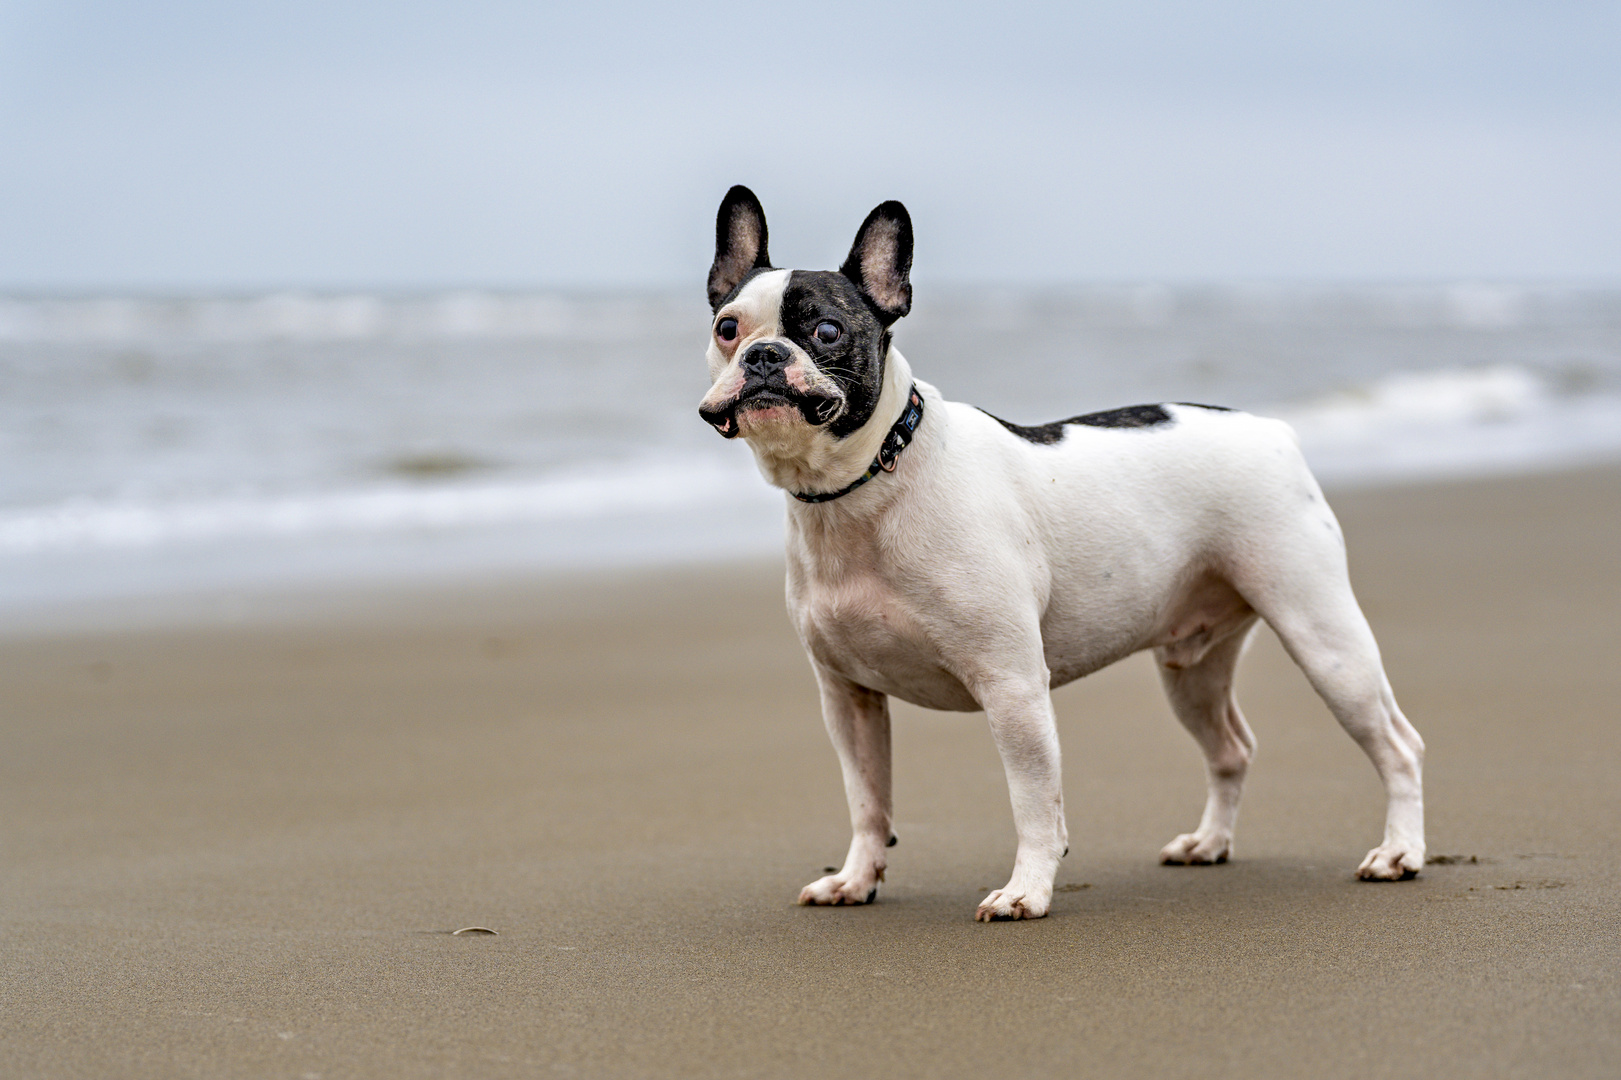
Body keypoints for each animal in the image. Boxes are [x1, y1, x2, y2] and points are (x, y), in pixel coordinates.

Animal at [693, 184, 1419, 914]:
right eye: (726, 327)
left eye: (826, 332)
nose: (762, 355)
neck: (860, 487)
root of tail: (1268, 428)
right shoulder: (848, 699)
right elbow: (867, 799)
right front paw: (856, 878)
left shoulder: (1011, 685)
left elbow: (1033, 801)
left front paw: (1027, 890)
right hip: (1192, 667)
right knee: (1230, 749)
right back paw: (1209, 843)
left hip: (1323, 636)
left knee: (1396, 743)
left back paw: (1398, 853)